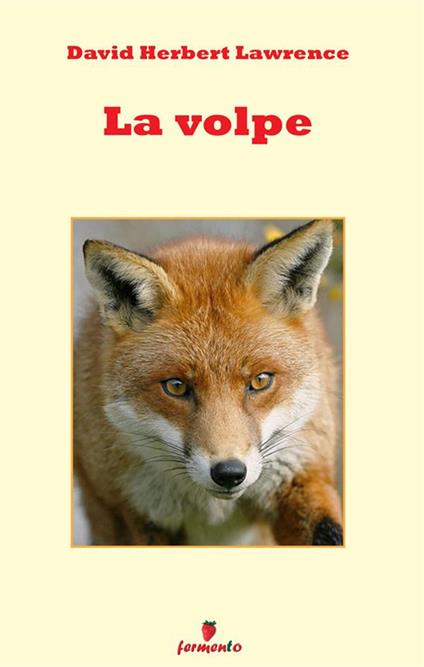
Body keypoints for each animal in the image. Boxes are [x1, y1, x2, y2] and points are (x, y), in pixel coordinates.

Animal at [73, 219, 343, 546]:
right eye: (176, 387)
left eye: (260, 381)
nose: (229, 473)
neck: (214, 508)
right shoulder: (140, 511)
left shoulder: (300, 470)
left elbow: (329, 533)